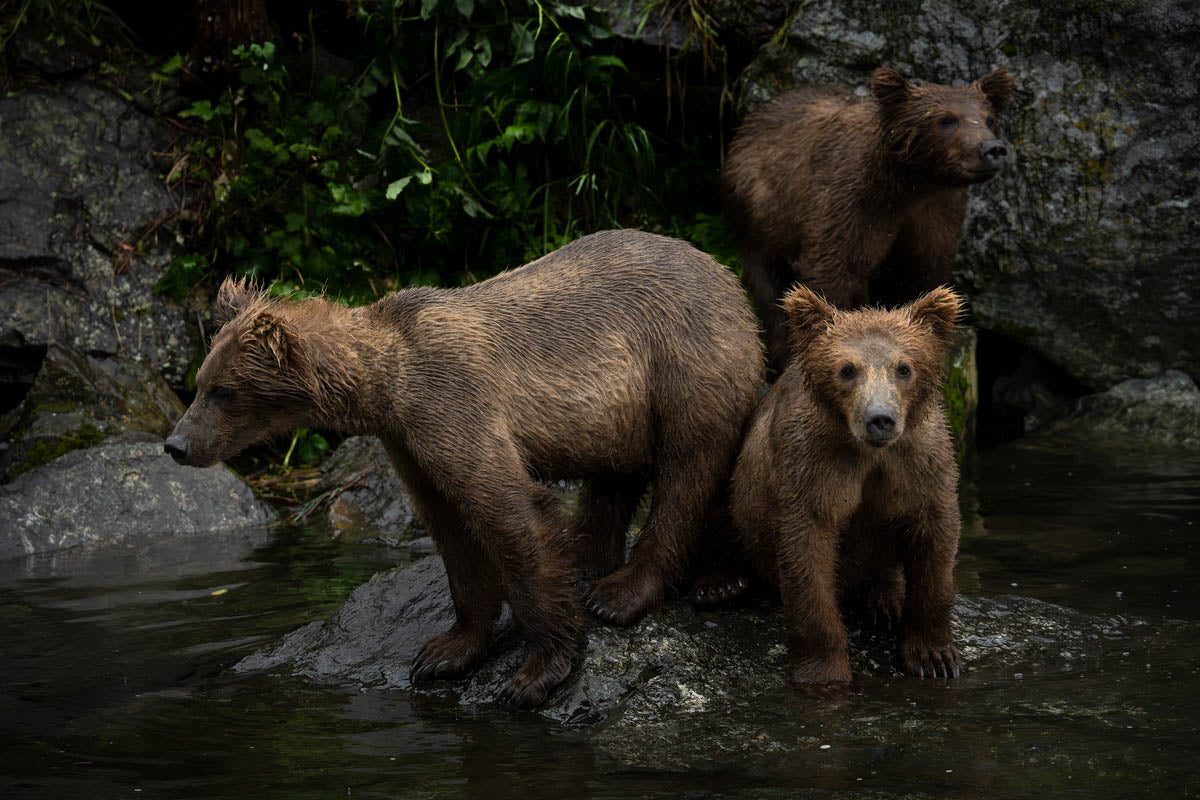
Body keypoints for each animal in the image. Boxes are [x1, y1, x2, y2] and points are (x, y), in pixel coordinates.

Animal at [164, 227, 763, 710]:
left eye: (222, 390)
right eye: (200, 382)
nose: (175, 444)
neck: (385, 383)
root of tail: (728, 277)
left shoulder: (452, 402)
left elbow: (507, 514)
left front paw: (533, 673)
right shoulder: (408, 441)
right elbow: (452, 530)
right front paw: (444, 651)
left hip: (686, 361)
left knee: (688, 469)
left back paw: (625, 592)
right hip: (619, 411)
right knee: (617, 477)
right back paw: (599, 564)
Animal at [720, 65, 1012, 371]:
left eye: (990, 118)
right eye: (947, 119)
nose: (992, 149)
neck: (912, 184)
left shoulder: (937, 214)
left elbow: (924, 272)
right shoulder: (850, 200)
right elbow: (831, 267)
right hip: (762, 213)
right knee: (769, 283)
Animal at [720, 284, 964, 686]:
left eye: (904, 367)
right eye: (847, 369)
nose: (880, 419)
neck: (870, 453)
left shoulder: (920, 462)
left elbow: (934, 537)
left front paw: (935, 656)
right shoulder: (815, 463)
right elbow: (808, 549)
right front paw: (823, 671)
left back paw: (885, 601)